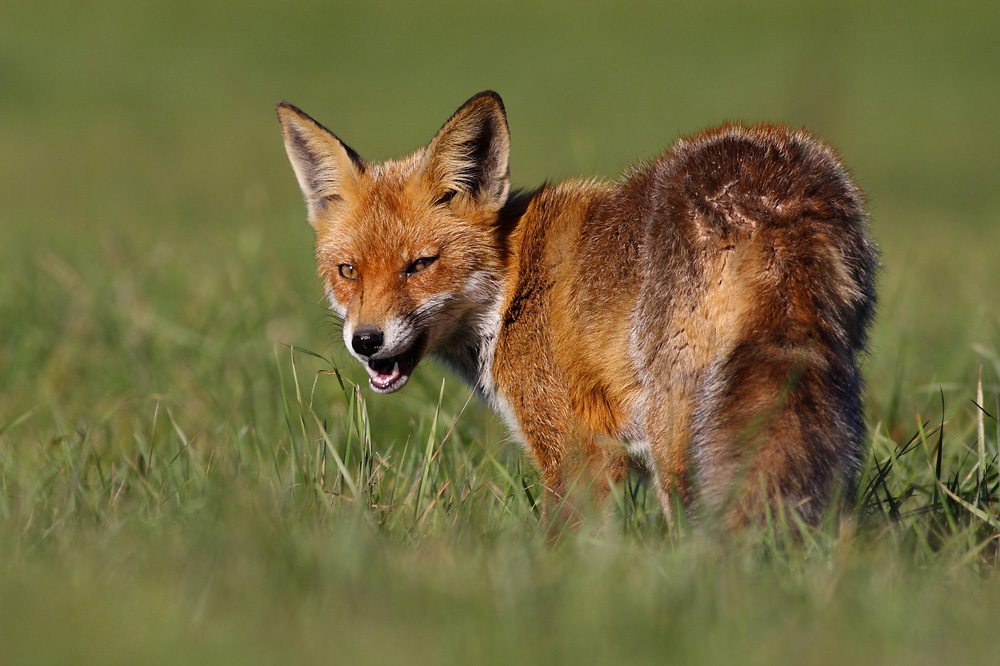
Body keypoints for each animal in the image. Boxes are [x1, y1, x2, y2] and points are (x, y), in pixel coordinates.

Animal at [276, 91, 877, 529]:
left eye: (420, 265)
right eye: (347, 271)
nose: (366, 341)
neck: (510, 287)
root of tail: (775, 200)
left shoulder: (579, 449)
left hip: (678, 428)